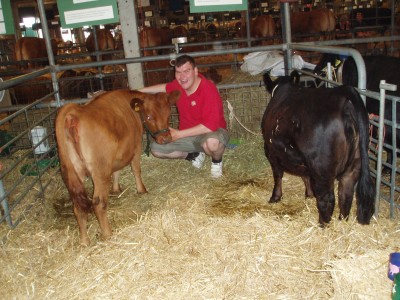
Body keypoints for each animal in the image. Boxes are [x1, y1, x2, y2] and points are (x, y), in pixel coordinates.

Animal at [55, 88, 180, 245]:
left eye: (168, 114)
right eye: (149, 116)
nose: (166, 139)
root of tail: (74, 112)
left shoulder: (119, 153)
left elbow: (117, 171)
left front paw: (116, 189)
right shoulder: (136, 146)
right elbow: (136, 169)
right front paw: (141, 190)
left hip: (74, 171)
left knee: (78, 207)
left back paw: (84, 241)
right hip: (100, 171)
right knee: (98, 203)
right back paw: (108, 234)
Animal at [262, 72, 376, 225]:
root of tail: (344, 94)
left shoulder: (271, 152)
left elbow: (278, 175)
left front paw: (275, 197)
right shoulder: (301, 158)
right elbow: (304, 175)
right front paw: (309, 194)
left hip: (321, 166)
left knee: (327, 198)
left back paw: (323, 224)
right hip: (355, 164)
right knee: (345, 195)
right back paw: (342, 222)